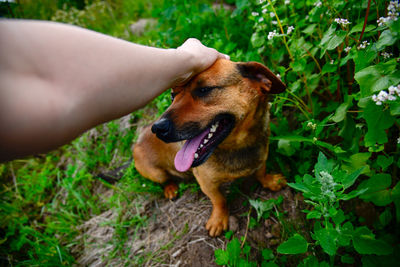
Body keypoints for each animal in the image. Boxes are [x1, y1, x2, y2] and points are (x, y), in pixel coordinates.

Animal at [134, 59, 288, 237]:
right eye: (173, 95)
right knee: (164, 180)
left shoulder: (261, 157)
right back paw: (170, 188)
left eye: (204, 90)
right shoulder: (206, 182)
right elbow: (219, 200)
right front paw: (219, 219)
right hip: (156, 173)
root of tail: (138, 140)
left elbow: (261, 172)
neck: (237, 146)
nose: (158, 128)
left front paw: (270, 181)